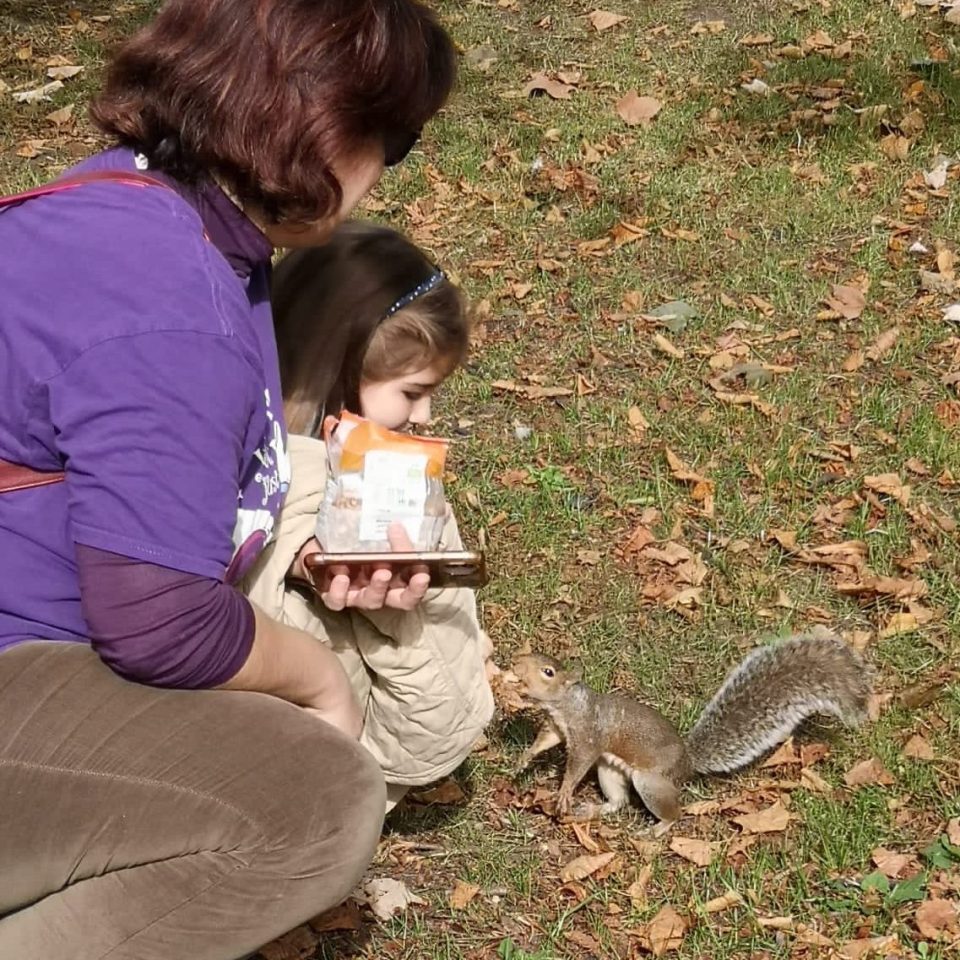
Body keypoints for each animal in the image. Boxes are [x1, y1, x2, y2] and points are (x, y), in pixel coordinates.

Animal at [509, 627, 872, 835]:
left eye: (547, 671)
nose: (514, 662)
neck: (566, 706)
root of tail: (687, 762)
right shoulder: (557, 728)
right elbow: (544, 742)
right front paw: (523, 760)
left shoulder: (588, 737)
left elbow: (577, 764)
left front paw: (565, 791)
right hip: (610, 771)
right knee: (619, 801)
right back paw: (595, 809)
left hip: (650, 781)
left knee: (673, 811)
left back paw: (657, 830)